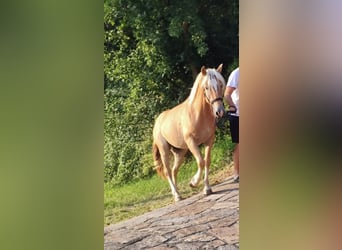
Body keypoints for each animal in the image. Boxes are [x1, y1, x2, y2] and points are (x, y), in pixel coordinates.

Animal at [152, 64, 226, 201]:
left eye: (220, 84)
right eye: (206, 87)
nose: (220, 112)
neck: (198, 114)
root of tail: (158, 121)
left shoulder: (209, 140)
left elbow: (207, 161)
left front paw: (207, 188)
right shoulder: (191, 142)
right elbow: (201, 162)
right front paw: (193, 182)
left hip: (180, 152)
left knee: (174, 170)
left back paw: (177, 192)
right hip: (164, 150)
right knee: (168, 171)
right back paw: (176, 195)